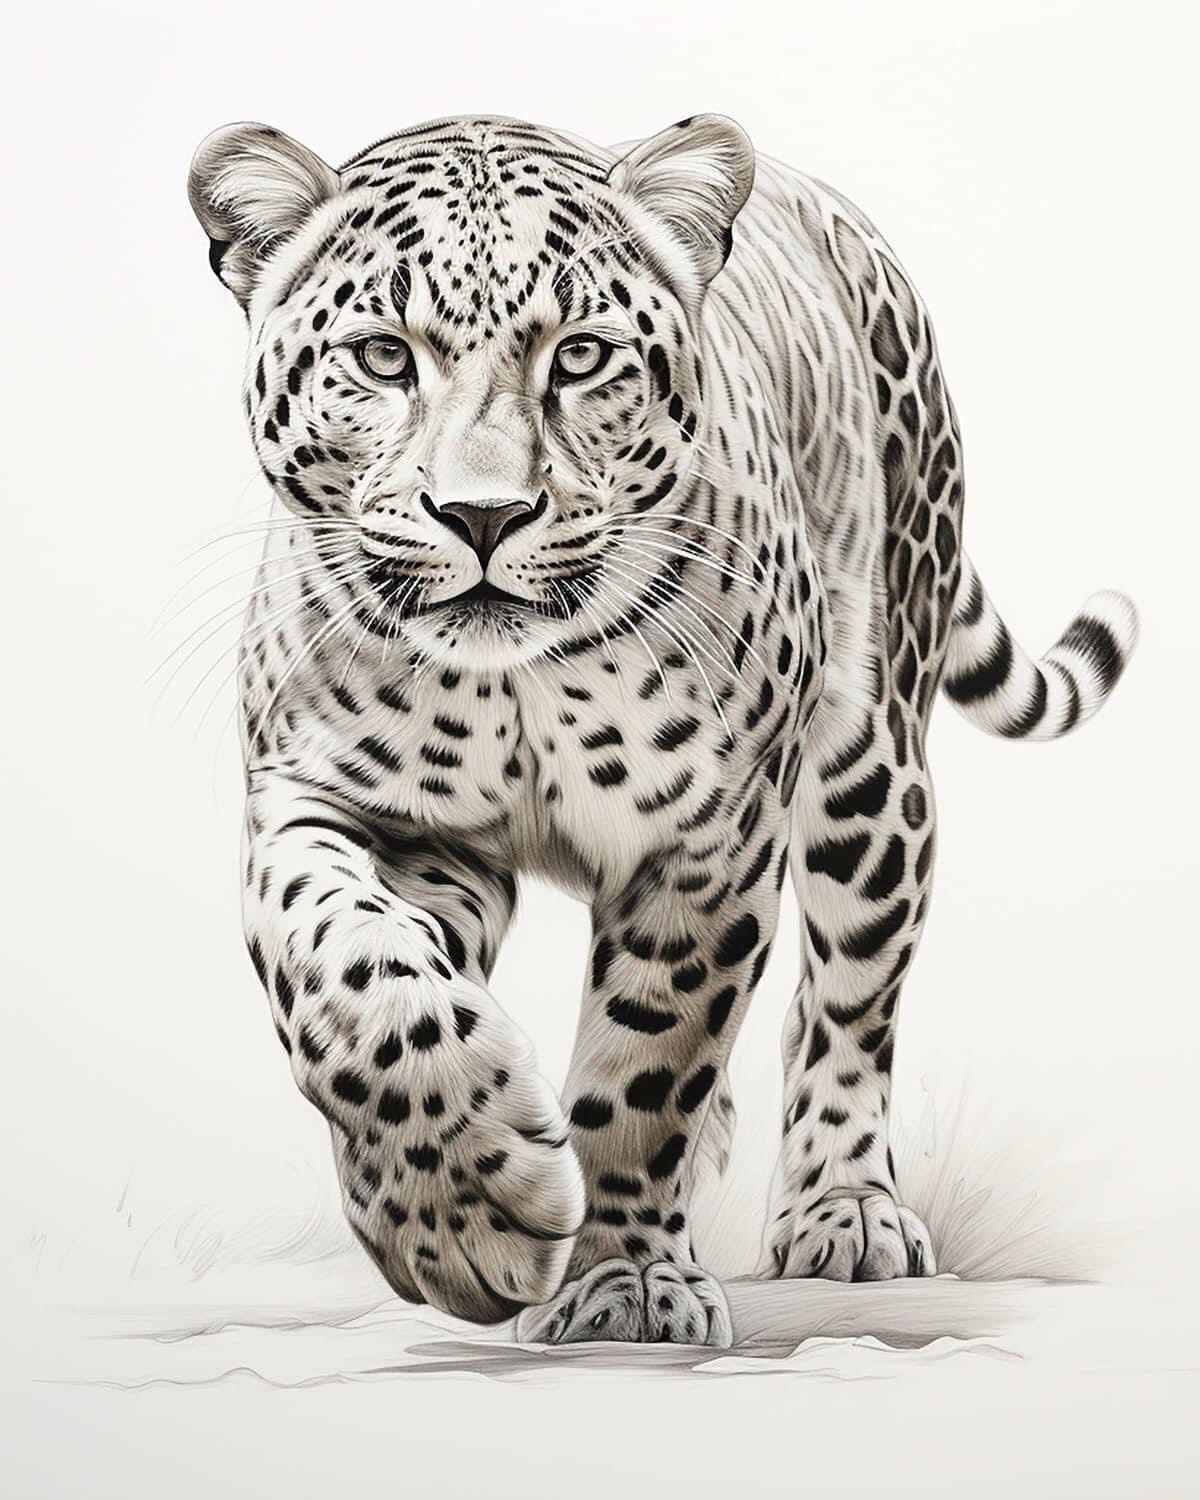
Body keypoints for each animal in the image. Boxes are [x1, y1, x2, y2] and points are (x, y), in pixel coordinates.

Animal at [188, 113, 1137, 1348]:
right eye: (385, 358)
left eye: (581, 357)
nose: (484, 516)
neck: (515, 688)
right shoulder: (340, 806)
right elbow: (351, 973)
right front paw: (453, 1214)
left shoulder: (713, 837)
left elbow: (651, 1057)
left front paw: (620, 1281)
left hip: (875, 777)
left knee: (846, 1005)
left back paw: (846, 1212)